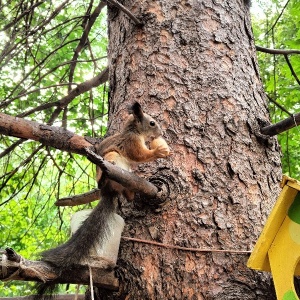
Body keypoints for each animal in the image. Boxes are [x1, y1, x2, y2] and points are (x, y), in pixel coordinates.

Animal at [34, 102, 170, 298]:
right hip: (110, 160)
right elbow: (140, 155)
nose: (160, 133)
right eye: (152, 123)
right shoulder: (131, 143)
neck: (134, 132)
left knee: (127, 192)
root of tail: (108, 191)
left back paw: (131, 191)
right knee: (112, 164)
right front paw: (159, 150)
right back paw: (113, 169)